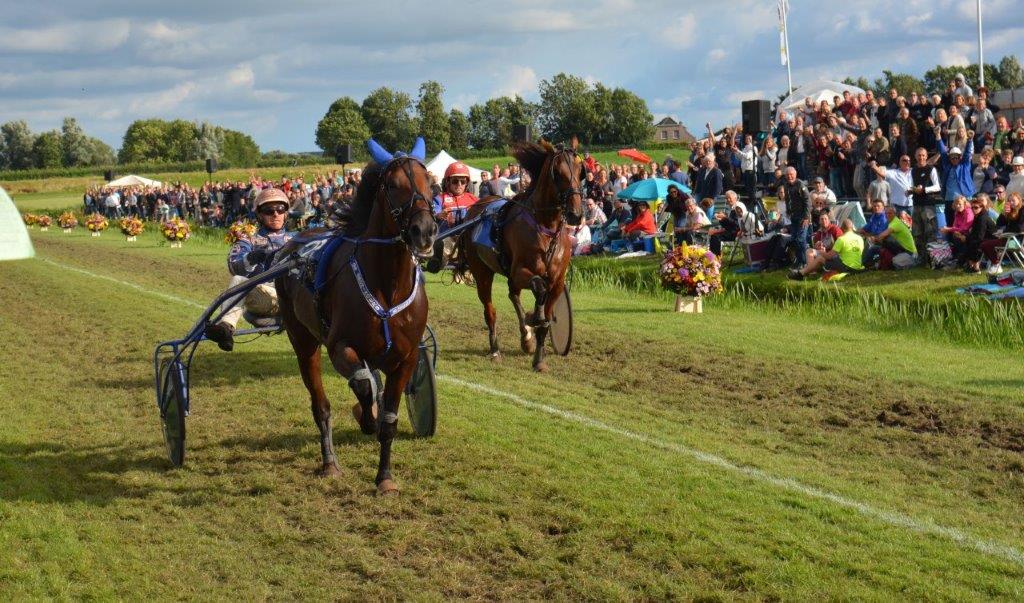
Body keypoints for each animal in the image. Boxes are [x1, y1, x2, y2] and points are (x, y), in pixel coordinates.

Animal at [274, 137, 434, 493]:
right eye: (393, 185)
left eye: (431, 182)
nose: (425, 230)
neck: (387, 287)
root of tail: (292, 243)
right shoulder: (340, 347)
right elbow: (362, 385)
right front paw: (365, 417)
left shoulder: (405, 359)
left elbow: (390, 418)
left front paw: (385, 478)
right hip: (303, 341)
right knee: (321, 405)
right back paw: (329, 462)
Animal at [458, 140, 581, 370]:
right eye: (558, 172)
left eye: (580, 171)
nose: (576, 214)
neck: (546, 229)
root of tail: (476, 207)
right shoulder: (519, 271)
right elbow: (539, 288)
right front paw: (535, 316)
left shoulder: (557, 281)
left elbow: (546, 316)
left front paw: (539, 358)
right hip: (482, 272)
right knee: (490, 310)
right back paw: (495, 350)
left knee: (513, 295)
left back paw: (526, 336)